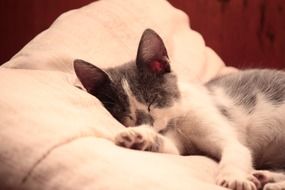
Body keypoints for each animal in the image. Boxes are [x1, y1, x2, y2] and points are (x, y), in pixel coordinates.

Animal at [73, 28, 284, 190]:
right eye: (124, 113)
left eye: (152, 99)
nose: (146, 123)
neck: (179, 118)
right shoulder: (177, 140)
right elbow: (171, 148)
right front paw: (138, 137)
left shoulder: (222, 128)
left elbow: (236, 150)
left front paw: (234, 178)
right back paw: (266, 177)